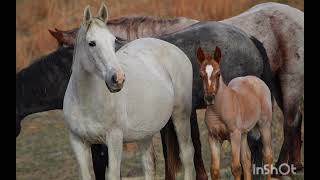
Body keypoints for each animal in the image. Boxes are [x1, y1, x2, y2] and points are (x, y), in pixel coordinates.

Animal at [61, 3, 194, 180]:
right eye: (92, 43)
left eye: (113, 40)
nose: (118, 79)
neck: (85, 101)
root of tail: (175, 50)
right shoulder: (77, 142)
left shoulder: (114, 139)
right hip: (145, 134)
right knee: (149, 165)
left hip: (181, 115)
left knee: (187, 154)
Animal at [196, 47, 274, 179]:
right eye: (201, 75)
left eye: (218, 74)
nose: (210, 98)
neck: (218, 110)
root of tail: (255, 79)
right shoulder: (213, 137)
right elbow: (214, 170)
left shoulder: (234, 135)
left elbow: (236, 168)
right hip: (243, 134)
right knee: (247, 160)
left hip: (264, 126)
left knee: (267, 156)